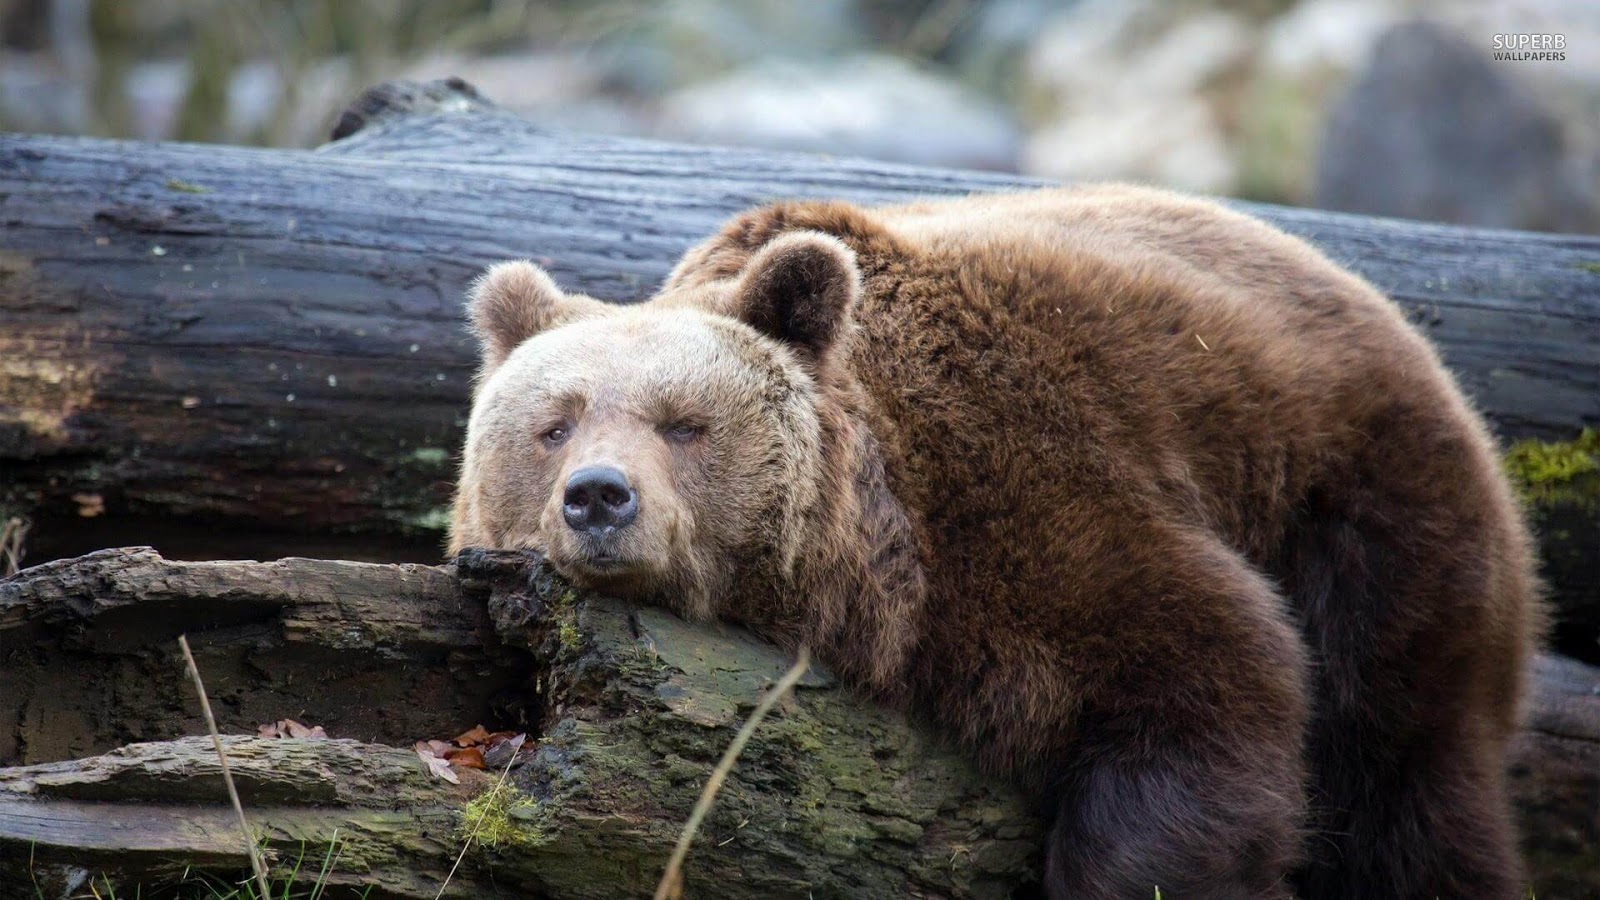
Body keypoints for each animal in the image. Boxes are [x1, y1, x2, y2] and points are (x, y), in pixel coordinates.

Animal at [448, 184, 1543, 899]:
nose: (599, 498)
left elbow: (1207, 677)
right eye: (554, 425)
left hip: (1366, 515)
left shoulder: (1031, 495)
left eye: (683, 423)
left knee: (1405, 781)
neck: (878, 556)